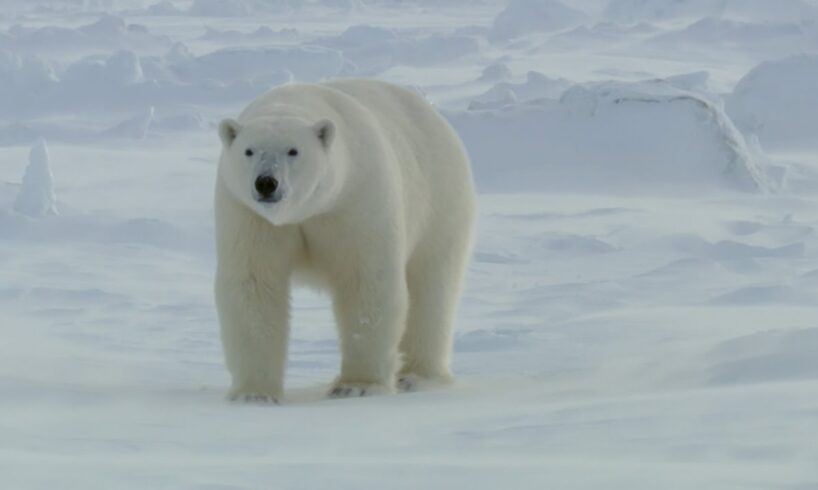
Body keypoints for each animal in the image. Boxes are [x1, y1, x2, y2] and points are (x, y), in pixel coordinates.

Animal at [214, 79, 474, 402]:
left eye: (293, 150)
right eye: (249, 151)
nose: (266, 183)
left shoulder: (355, 200)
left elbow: (365, 280)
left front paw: (356, 386)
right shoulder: (249, 216)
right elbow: (254, 284)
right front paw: (254, 394)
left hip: (440, 204)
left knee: (431, 288)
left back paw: (417, 376)